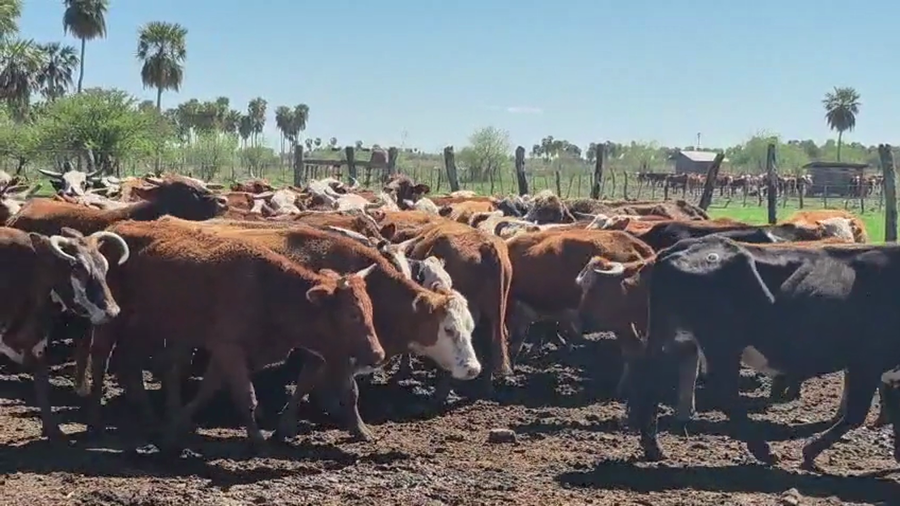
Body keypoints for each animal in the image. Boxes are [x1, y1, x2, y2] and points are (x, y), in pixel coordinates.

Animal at [0, 226, 128, 439]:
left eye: (104, 266)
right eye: (77, 269)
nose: (112, 311)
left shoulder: (37, 343)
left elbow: (42, 385)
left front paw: (53, 432)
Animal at [80, 220, 386, 452]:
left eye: (371, 310)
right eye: (352, 314)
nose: (378, 354)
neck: (268, 289)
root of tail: (117, 226)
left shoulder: (227, 351)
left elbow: (208, 389)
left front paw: (176, 426)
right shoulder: (230, 348)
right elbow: (245, 396)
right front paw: (258, 441)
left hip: (145, 327)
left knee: (130, 365)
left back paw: (149, 419)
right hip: (111, 319)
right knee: (101, 361)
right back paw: (95, 422)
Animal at [627, 235, 900, 470]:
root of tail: (684, 246)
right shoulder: (867, 361)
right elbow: (856, 414)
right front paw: (809, 452)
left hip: (672, 334)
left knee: (650, 381)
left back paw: (652, 448)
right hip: (720, 341)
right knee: (725, 393)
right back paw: (764, 452)